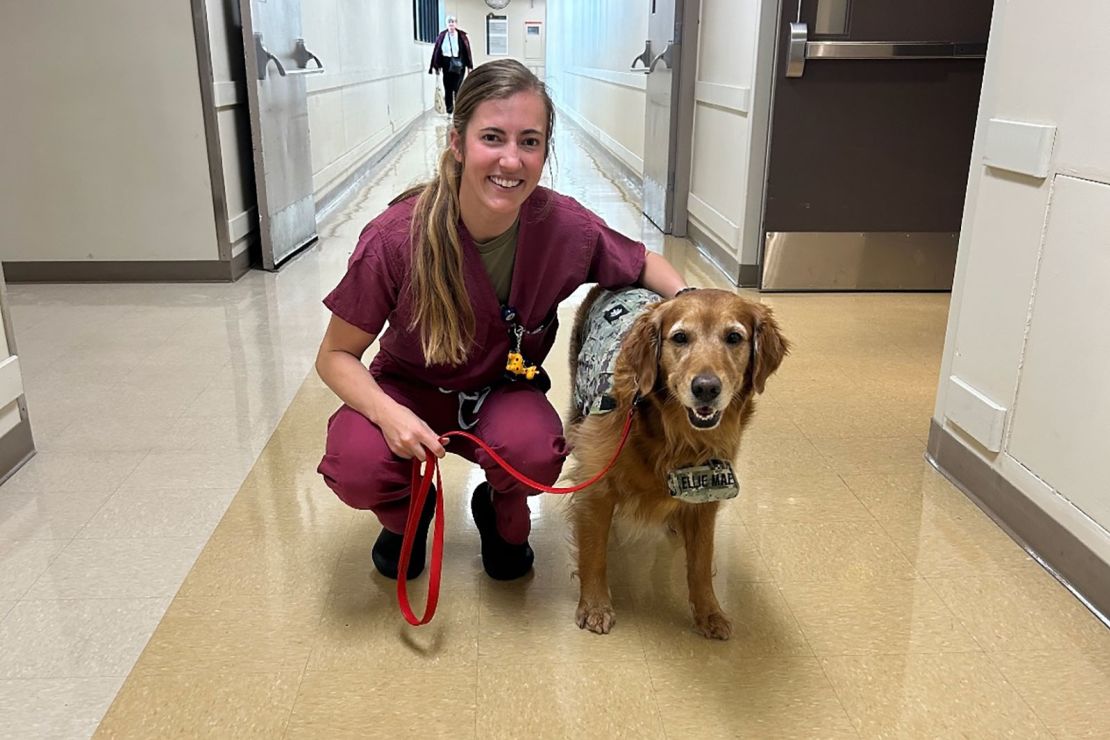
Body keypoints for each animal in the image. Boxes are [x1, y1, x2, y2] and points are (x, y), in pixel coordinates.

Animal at [568, 286, 785, 639]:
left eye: (734, 337)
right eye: (680, 337)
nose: (706, 388)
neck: (677, 436)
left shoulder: (710, 493)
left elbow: (700, 562)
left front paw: (709, 612)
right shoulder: (597, 482)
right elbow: (594, 552)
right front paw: (595, 606)